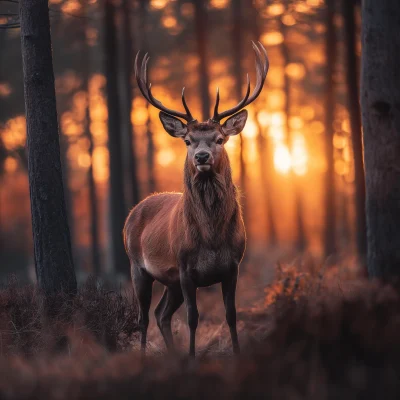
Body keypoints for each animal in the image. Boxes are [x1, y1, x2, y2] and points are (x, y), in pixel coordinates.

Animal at [124, 41, 268, 356]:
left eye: (220, 139)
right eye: (188, 141)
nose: (202, 157)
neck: (211, 239)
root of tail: (133, 212)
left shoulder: (233, 267)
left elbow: (231, 315)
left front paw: (236, 353)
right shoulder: (185, 267)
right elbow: (193, 318)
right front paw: (191, 357)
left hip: (170, 282)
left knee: (161, 314)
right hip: (138, 266)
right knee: (143, 318)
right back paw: (144, 356)